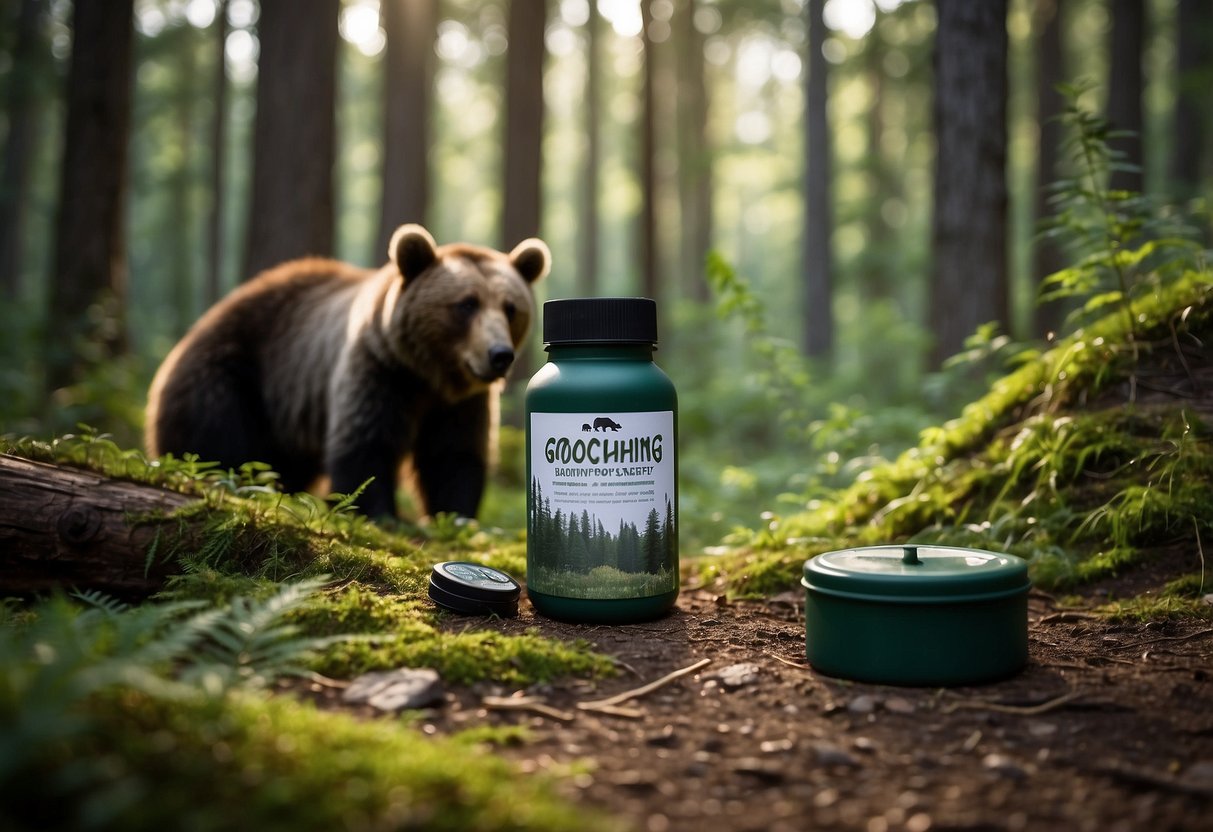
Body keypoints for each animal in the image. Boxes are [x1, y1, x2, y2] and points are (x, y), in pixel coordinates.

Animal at [143, 224, 555, 519]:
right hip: (234, 373)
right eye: (467, 304)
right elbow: (365, 445)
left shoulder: (461, 401)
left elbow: (454, 454)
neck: (428, 375)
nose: (499, 355)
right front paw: (379, 514)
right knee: (215, 434)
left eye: (511, 307)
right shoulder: (378, 370)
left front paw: (455, 517)